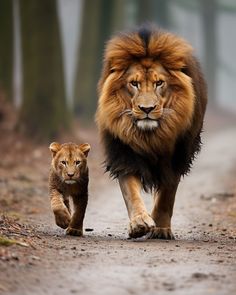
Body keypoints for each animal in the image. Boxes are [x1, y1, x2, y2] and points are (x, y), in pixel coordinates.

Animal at [95, 24, 206, 239]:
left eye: (159, 83)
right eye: (134, 83)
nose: (147, 109)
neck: (150, 137)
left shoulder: (175, 159)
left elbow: (167, 196)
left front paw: (161, 228)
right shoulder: (124, 156)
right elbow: (131, 192)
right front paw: (139, 223)